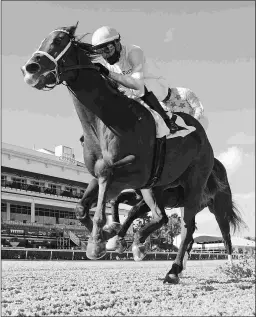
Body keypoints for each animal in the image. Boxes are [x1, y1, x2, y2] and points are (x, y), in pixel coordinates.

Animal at [21, 23, 239, 282]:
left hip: (199, 189)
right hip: (157, 187)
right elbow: (83, 206)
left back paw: (179, 270)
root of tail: (203, 136)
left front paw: (100, 240)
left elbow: (108, 185)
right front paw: (108, 237)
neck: (108, 118)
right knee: (170, 220)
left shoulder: (135, 169)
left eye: (58, 41)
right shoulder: (108, 176)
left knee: (195, 227)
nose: (30, 68)